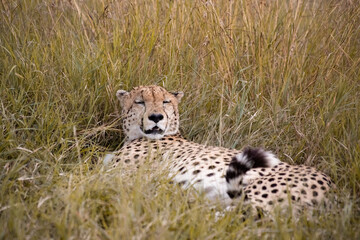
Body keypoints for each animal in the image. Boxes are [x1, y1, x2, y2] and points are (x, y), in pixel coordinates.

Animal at [105, 86, 334, 212]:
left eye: (166, 102)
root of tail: (333, 186)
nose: (156, 117)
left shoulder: (119, 175)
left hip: (259, 191)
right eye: (140, 102)